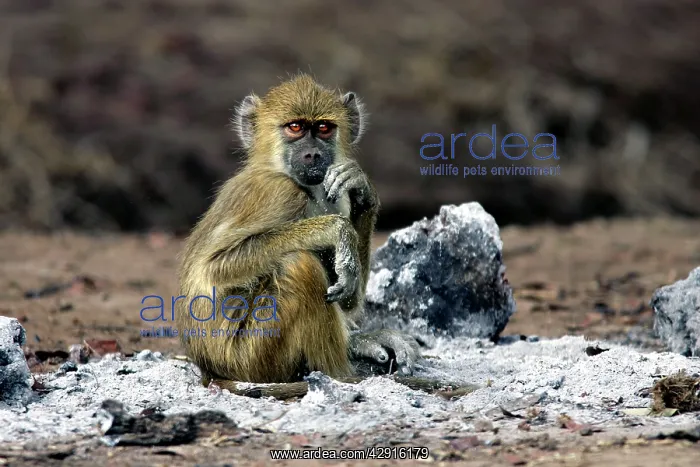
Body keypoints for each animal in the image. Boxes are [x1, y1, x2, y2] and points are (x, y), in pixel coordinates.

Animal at [175, 74, 420, 385]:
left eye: (323, 128)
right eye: (295, 128)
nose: (312, 154)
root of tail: (207, 366)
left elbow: (347, 298)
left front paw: (362, 190)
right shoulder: (280, 192)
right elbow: (213, 267)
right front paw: (336, 230)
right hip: (252, 356)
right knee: (300, 265)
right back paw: (344, 376)